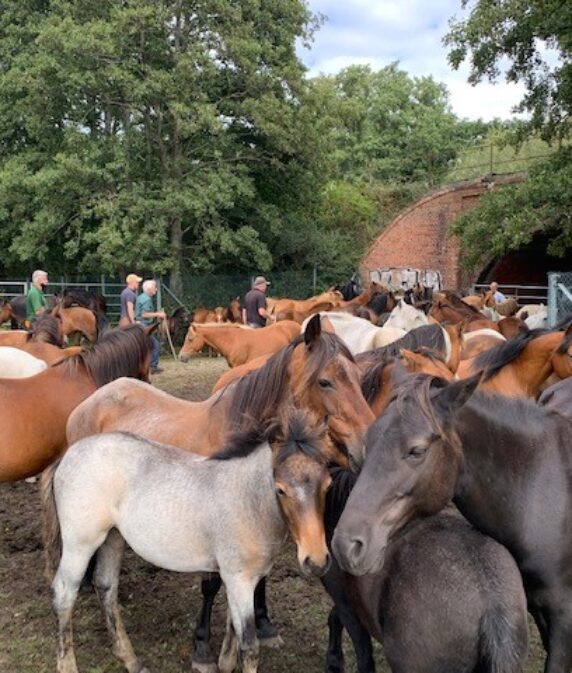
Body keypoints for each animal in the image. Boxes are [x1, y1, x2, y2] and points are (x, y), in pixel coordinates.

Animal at [43, 411, 332, 673]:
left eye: (327, 485)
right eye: (280, 489)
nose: (316, 561)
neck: (247, 500)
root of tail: (67, 456)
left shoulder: (240, 579)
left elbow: (233, 631)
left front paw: (223, 663)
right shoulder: (238, 578)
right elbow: (249, 646)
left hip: (113, 537)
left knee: (105, 585)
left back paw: (132, 661)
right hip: (80, 544)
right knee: (65, 593)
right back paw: (67, 666)